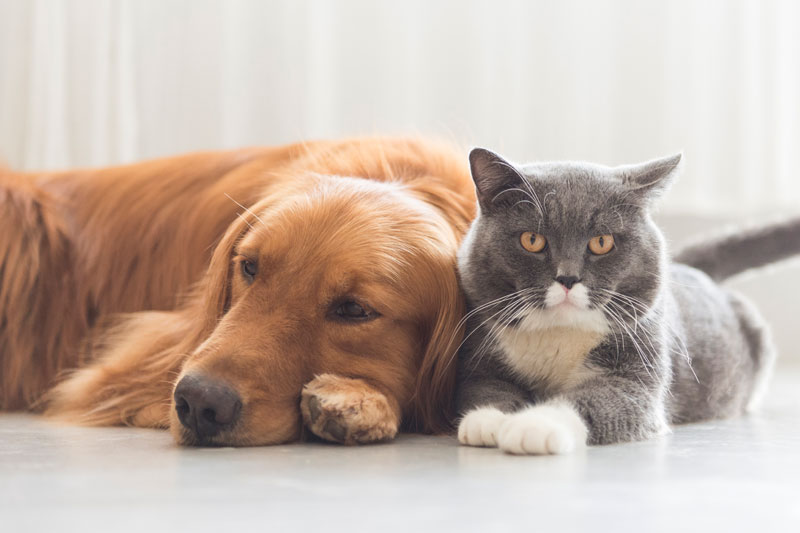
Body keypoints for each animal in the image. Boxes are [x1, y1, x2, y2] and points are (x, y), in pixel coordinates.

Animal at [454, 148, 796, 456]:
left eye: (602, 242)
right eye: (532, 240)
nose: (568, 278)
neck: (560, 333)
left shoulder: (637, 374)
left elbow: (594, 400)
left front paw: (534, 426)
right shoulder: (481, 356)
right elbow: (486, 387)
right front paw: (488, 420)